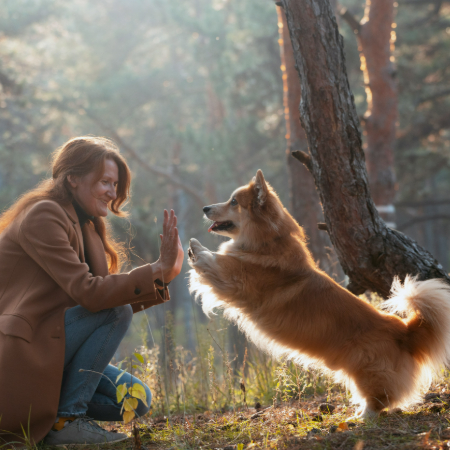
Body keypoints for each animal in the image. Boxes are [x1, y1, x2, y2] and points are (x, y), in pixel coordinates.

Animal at [188, 170, 450, 418]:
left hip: (367, 369)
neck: (268, 241)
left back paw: (362, 417)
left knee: (380, 398)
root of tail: (405, 331)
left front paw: (194, 247)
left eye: (233, 202)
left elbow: (215, 260)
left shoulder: (233, 278)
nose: (204, 208)